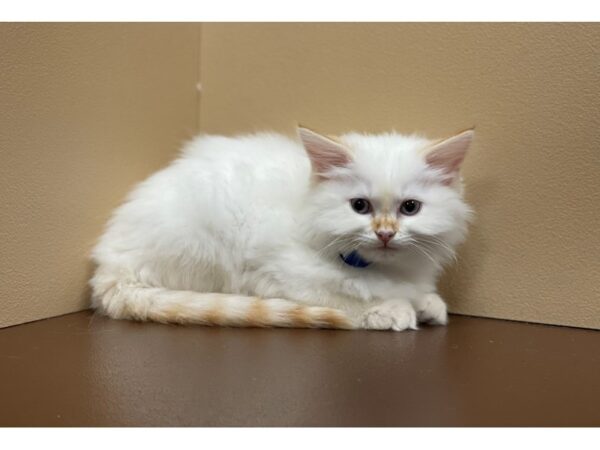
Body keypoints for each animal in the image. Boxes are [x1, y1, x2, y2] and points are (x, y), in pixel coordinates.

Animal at [90, 126, 474, 330]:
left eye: (410, 208)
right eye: (359, 206)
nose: (385, 233)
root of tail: (110, 268)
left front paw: (426, 302)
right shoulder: (276, 275)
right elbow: (345, 297)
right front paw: (391, 309)